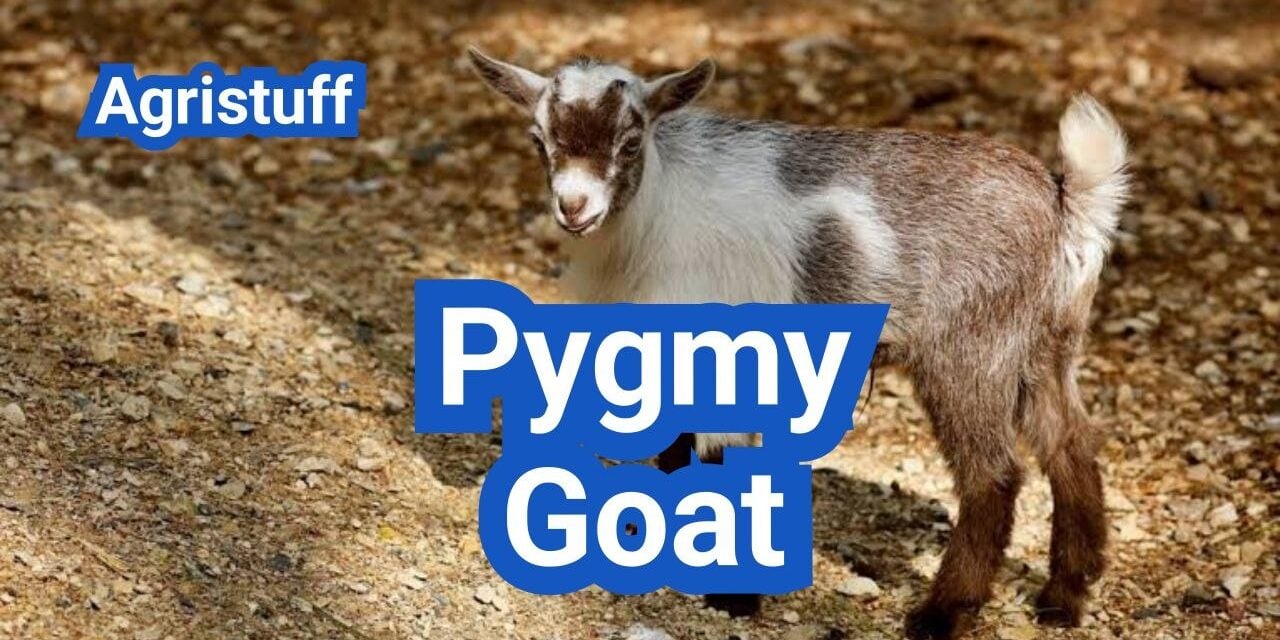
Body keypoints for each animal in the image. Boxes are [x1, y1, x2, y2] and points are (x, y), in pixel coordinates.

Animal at [469, 48, 1128, 640]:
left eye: (631, 142)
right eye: (538, 139)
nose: (574, 207)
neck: (654, 215)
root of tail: (1065, 204)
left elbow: (718, 460)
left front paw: (733, 597)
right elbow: (676, 452)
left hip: (971, 348)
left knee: (993, 475)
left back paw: (943, 614)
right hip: (1045, 345)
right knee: (1069, 447)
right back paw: (1063, 599)